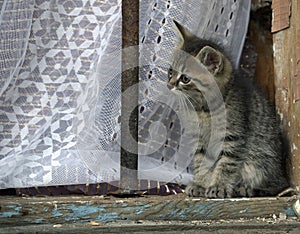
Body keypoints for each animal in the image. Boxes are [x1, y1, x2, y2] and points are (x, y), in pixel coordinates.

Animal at [168, 21, 288, 197]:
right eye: (170, 71)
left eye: (185, 78)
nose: (169, 84)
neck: (204, 110)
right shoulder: (200, 140)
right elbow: (201, 162)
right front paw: (201, 184)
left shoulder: (232, 138)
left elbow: (226, 165)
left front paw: (219, 186)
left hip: (260, 162)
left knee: (274, 185)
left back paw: (245, 188)